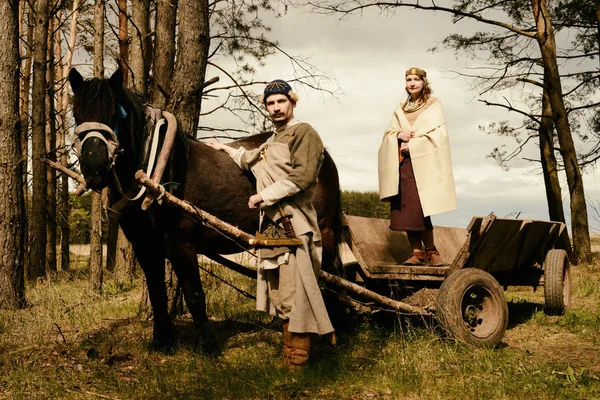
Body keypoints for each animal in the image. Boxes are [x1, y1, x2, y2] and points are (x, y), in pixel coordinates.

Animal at [68, 68, 342, 350]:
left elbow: (194, 294)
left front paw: (208, 345)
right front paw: (162, 341)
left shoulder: (181, 243)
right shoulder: (145, 245)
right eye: (77, 115)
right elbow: (156, 292)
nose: (94, 168)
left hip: (322, 229)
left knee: (328, 274)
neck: (157, 173)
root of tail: (325, 156)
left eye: (115, 114)